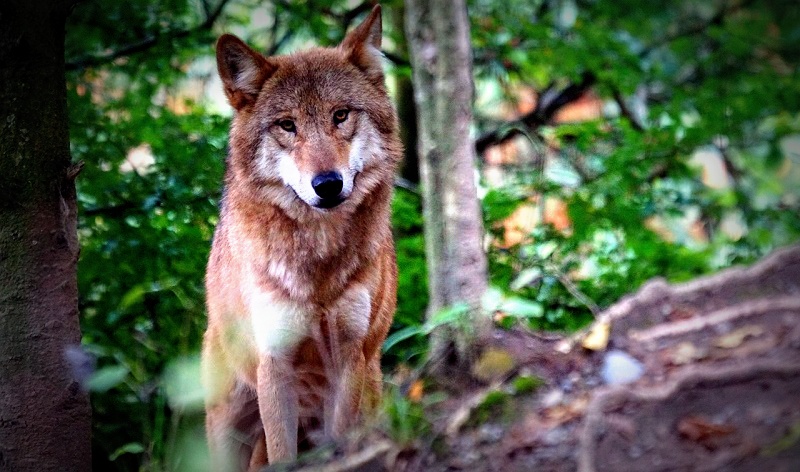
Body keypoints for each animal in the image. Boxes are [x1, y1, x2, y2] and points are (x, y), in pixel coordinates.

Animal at [200, 5, 400, 470]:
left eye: (340, 115)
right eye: (287, 125)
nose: (327, 184)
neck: (318, 263)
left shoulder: (349, 355)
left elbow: (340, 439)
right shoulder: (275, 363)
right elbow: (281, 453)